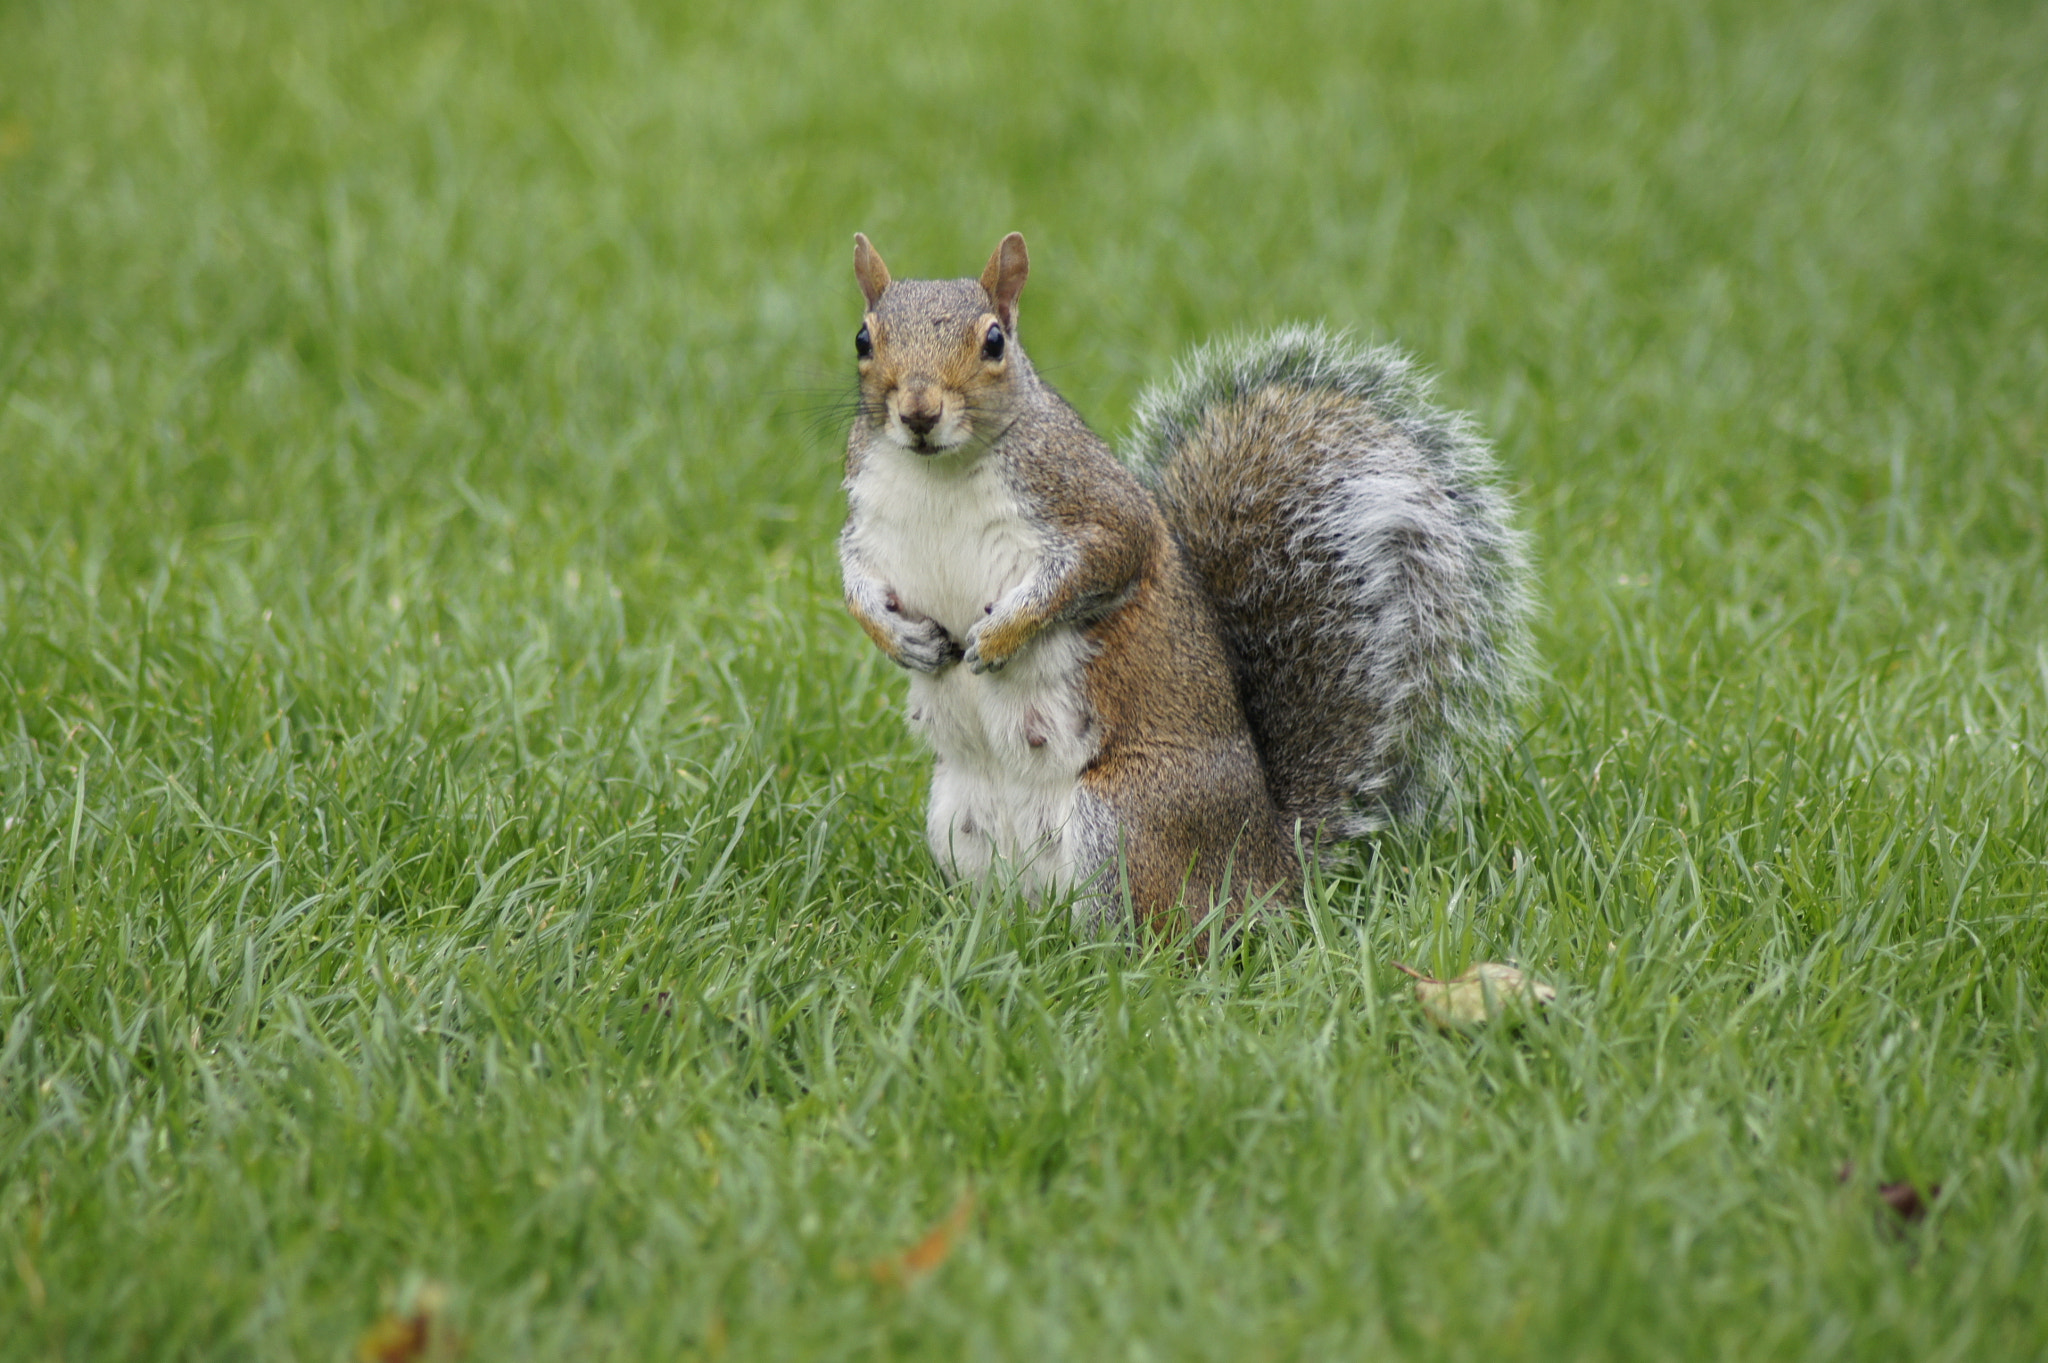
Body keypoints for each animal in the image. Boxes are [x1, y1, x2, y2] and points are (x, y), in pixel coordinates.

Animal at [839, 233, 1531, 933]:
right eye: (863, 339)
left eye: (994, 342)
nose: (919, 411)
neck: (938, 472)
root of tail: (1271, 865)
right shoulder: (864, 525)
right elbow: (854, 583)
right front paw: (900, 639)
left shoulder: (1101, 512)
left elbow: (1092, 569)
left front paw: (1001, 635)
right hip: (958, 819)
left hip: (1123, 821)